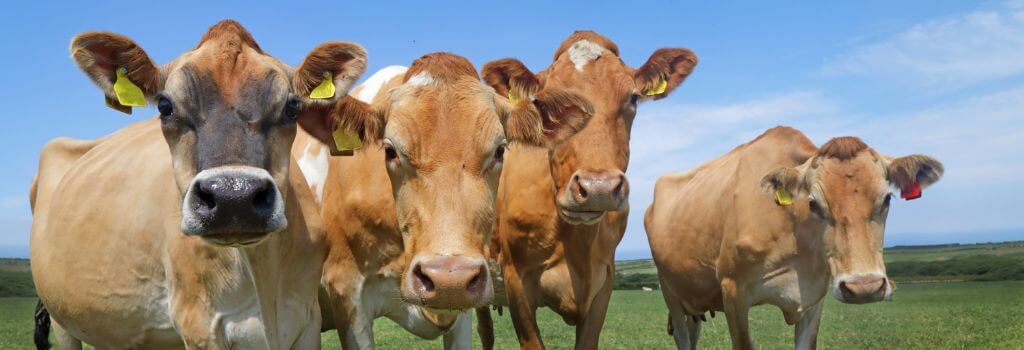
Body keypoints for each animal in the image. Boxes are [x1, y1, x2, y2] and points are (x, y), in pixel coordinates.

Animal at [29, 20, 368, 347]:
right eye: (165, 106)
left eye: (292, 107)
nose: (234, 198)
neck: (264, 279)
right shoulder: (199, 324)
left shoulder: (306, 318)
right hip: (61, 319)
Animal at [647, 126, 942, 350]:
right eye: (814, 203)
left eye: (887, 198)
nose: (864, 288)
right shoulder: (733, 293)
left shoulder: (815, 298)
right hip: (669, 290)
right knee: (683, 337)